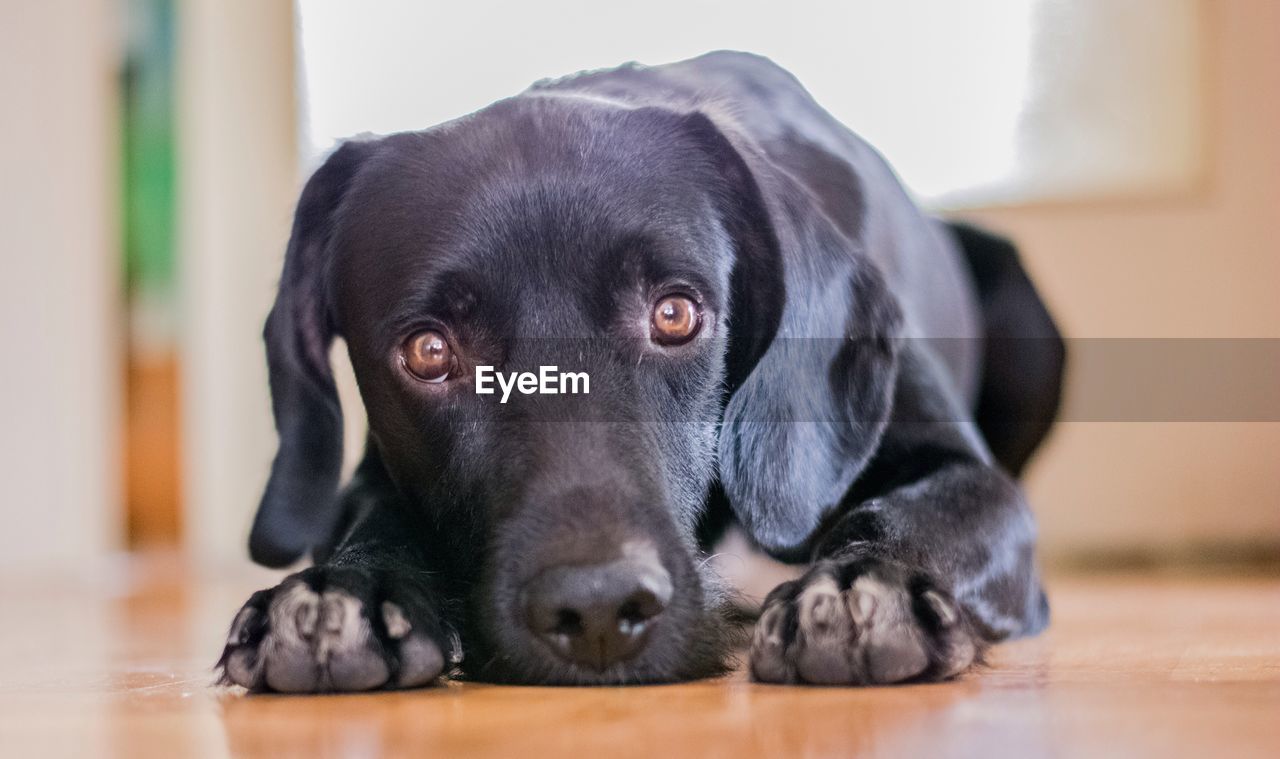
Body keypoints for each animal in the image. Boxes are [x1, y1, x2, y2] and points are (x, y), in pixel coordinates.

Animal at [217, 53, 1059, 691]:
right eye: (428, 351)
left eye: (675, 313)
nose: (596, 610)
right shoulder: (374, 473)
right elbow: (373, 519)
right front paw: (346, 592)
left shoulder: (968, 476)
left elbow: (919, 512)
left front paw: (864, 584)